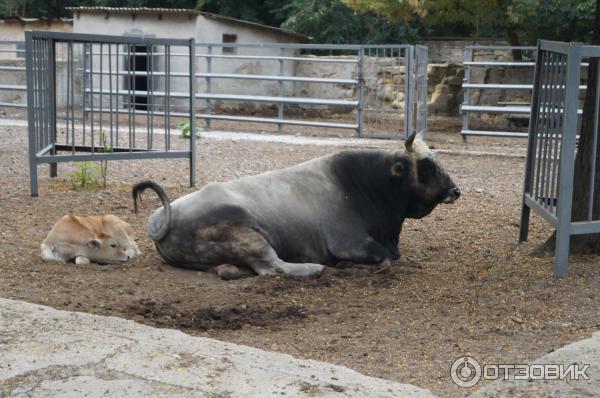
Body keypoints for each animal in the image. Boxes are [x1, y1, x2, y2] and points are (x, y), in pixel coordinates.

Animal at [131, 134, 460, 280]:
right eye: (428, 166)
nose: (455, 190)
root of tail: (162, 218)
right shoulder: (349, 241)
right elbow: (383, 260)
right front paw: (348, 266)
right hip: (247, 236)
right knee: (272, 267)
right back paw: (312, 268)